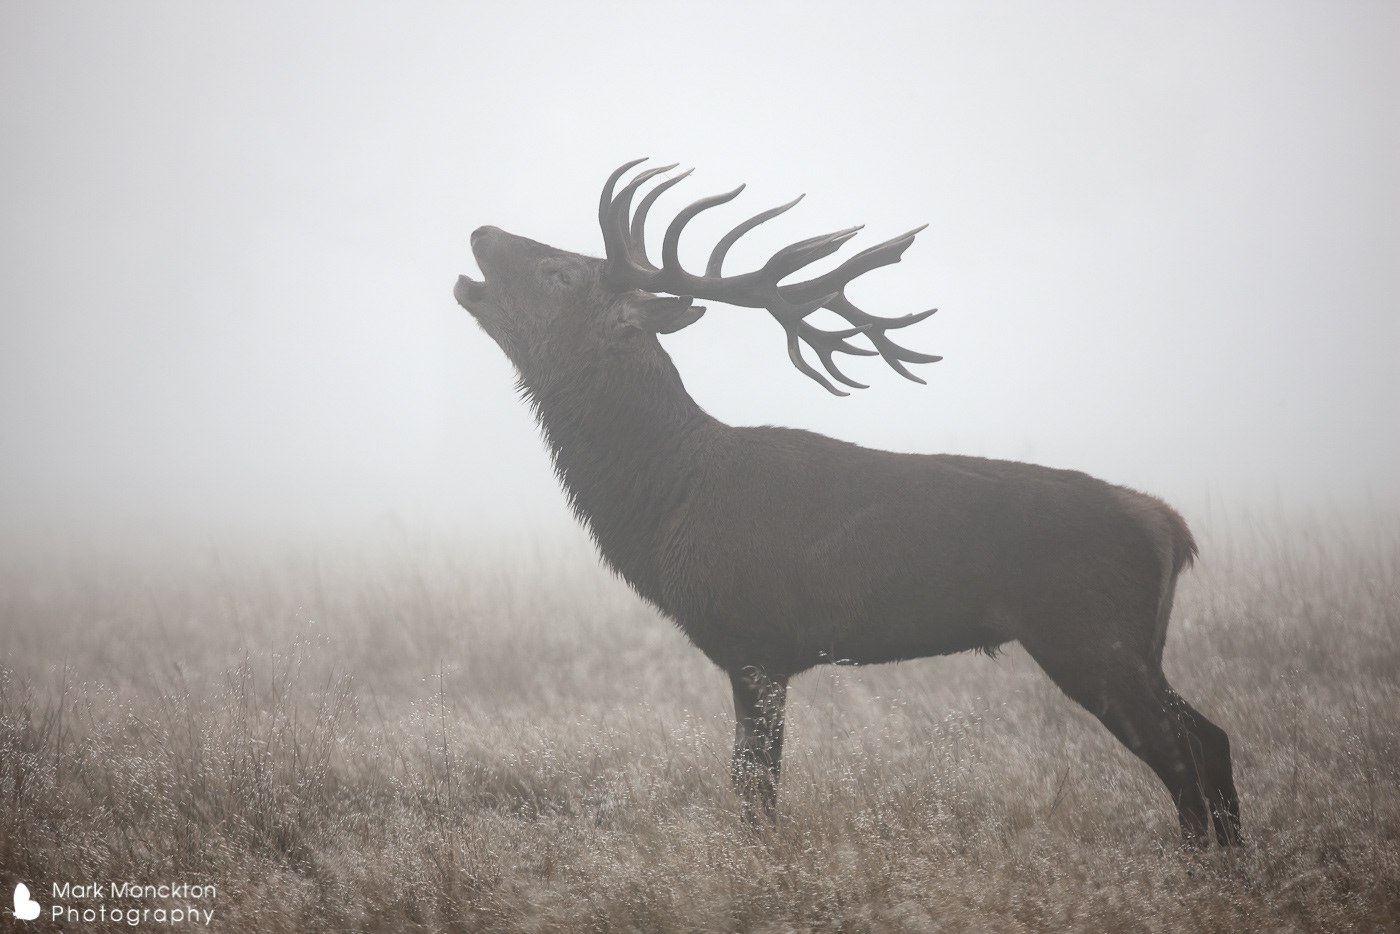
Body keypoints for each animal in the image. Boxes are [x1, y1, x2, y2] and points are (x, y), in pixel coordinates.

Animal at [452, 159, 1241, 847]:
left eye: (561, 272)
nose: (481, 232)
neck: (663, 501)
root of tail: (1170, 527)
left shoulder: (756, 640)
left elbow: (754, 788)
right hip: (1133, 644)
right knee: (1212, 736)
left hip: (1088, 633)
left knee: (1184, 753)